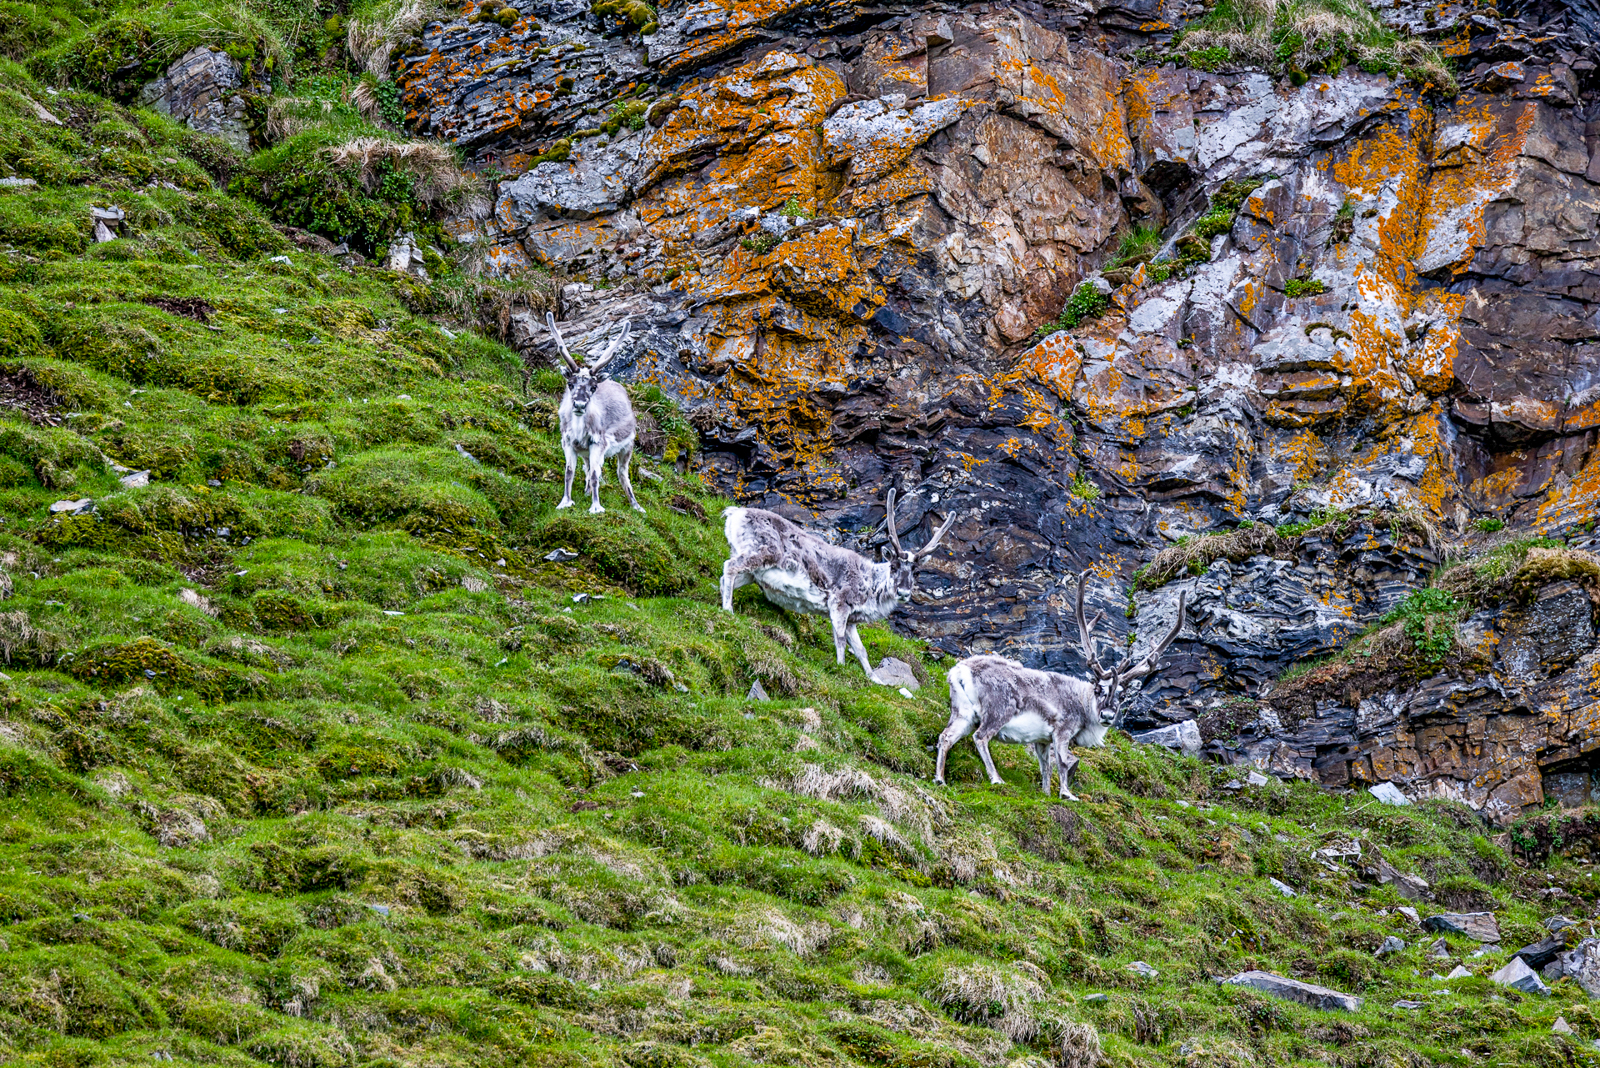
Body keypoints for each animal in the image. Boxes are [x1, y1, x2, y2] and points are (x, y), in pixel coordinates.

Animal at [547, 313, 643, 515]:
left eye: (593, 387)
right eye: (570, 383)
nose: (579, 404)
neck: (578, 430)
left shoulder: (599, 442)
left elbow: (594, 474)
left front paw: (596, 507)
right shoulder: (567, 441)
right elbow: (569, 472)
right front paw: (565, 502)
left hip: (628, 445)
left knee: (622, 473)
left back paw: (636, 506)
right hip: (585, 451)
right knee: (588, 467)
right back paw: (585, 492)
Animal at [721, 489, 956, 683]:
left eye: (917, 572)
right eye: (894, 565)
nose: (904, 592)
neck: (870, 587)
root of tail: (734, 513)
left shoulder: (852, 619)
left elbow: (861, 650)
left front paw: (876, 679)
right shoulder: (839, 604)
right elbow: (840, 640)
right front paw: (841, 667)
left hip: (753, 573)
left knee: (725, 579)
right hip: (761, 552)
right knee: (729, 567)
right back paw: (728, 610)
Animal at [934, 571, 1188, 800]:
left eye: (1123, 696)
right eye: (1098, 689)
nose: (1107, 715)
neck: (1082, 705)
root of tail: (960, 671)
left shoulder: (1041, 740)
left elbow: (1045, 767)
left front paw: (1046, 794)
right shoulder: (1062, 730)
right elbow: (1064, 763)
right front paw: (1067, 793)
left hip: (963, 712)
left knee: (945, 736)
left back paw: (940, 779)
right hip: (998, 710)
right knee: (981, 737)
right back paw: (996, 778)